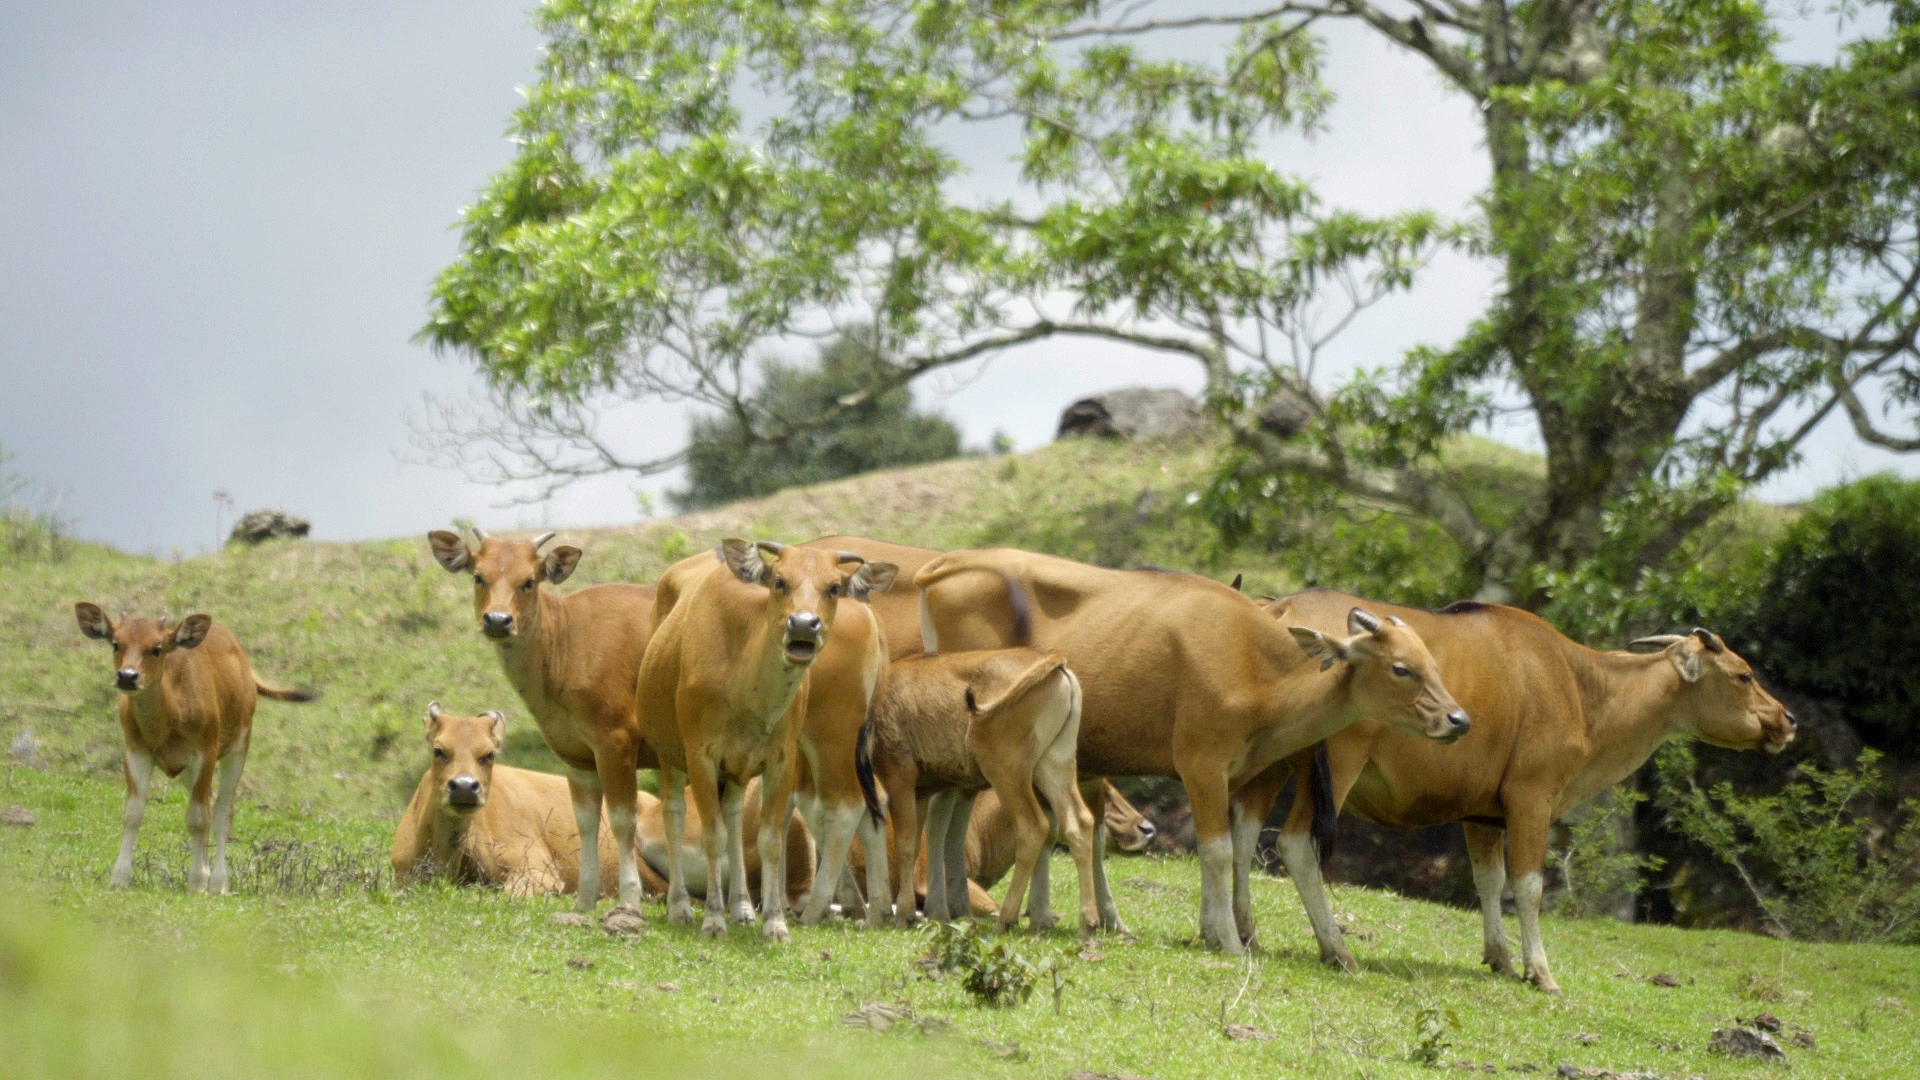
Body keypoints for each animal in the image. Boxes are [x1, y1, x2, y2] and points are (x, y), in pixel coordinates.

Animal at [73, 603, 315, 894]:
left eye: (157, 648)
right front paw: (119, 878)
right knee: (210, 804)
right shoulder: (135, 751)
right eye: (116, 644)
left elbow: (198, 818)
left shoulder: (205, 752)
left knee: (222, 812)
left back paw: (219, 881)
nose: (127, 677)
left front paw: (198, 881)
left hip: (239, 746)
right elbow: (133, 813)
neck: (168, 720)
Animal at [426, 527, 656, 913]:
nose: (498, 620)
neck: (568, 645)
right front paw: (584, 903)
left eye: (529, 581)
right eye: (479, 576)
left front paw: (629, 901)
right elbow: (587, 823)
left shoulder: (616, 742)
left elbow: (623, 821)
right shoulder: (575, 753)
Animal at [857, 646, 1101, 935]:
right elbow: (914, 846)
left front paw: (903, 915)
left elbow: (905, 846)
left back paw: (1005, 919)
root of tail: (1054, 662)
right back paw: (1088, 922)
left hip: (1007, 773)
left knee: (1033, 828)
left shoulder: (899, 778)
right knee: (1080, 823)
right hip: (1054, 765)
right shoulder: (921, 792)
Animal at [913, 549, 1469, 954]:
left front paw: (1210, 929)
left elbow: (1215, 848)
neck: (1253, 667)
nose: (1458, 719)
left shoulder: (1228, 776)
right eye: (1401, 668)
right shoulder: (1201, 766)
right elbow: (1218, 851)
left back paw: (951, 907)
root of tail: (948, 563)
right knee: (946, 805)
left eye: (1433, 664)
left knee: (955, 807)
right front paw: (1229, 940)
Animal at [1254, 590, 1795, 993]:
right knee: (1297, 844)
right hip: (1336, 767)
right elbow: (1529, 886)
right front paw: (1542, 973)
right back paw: (1337, 950)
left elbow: (1489, 880)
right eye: (1744, 675)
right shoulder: (1532, 799)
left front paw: (1502, 959)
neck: (1580, 684)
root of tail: (1279, 610)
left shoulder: (1480, 813)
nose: (1787, 719)